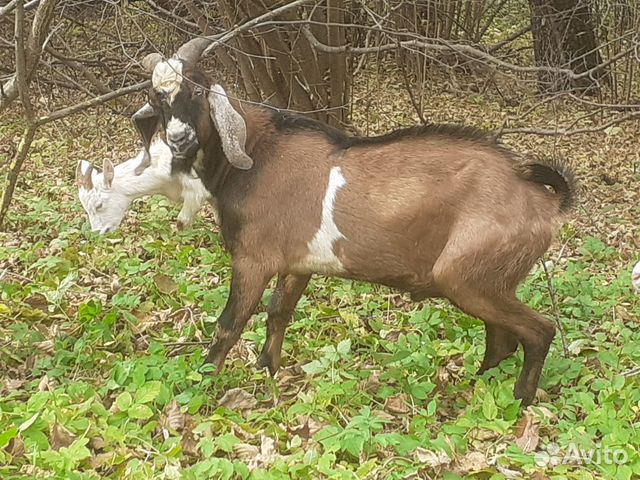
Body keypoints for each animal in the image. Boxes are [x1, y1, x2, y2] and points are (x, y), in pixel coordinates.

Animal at [132, 43, 576, 406]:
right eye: (155, 96)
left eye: (197, 91)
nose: (180, 139)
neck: (257, 156)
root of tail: (542, 199)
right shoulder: (298, 264)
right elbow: (279, 313)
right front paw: (267, 372)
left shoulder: (253, 260)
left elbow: (230, 324)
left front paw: (203, 386)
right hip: (487, 281)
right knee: (501, 340)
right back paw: (476, 387)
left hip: (466, 275)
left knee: (538, 331)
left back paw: (520, 400)